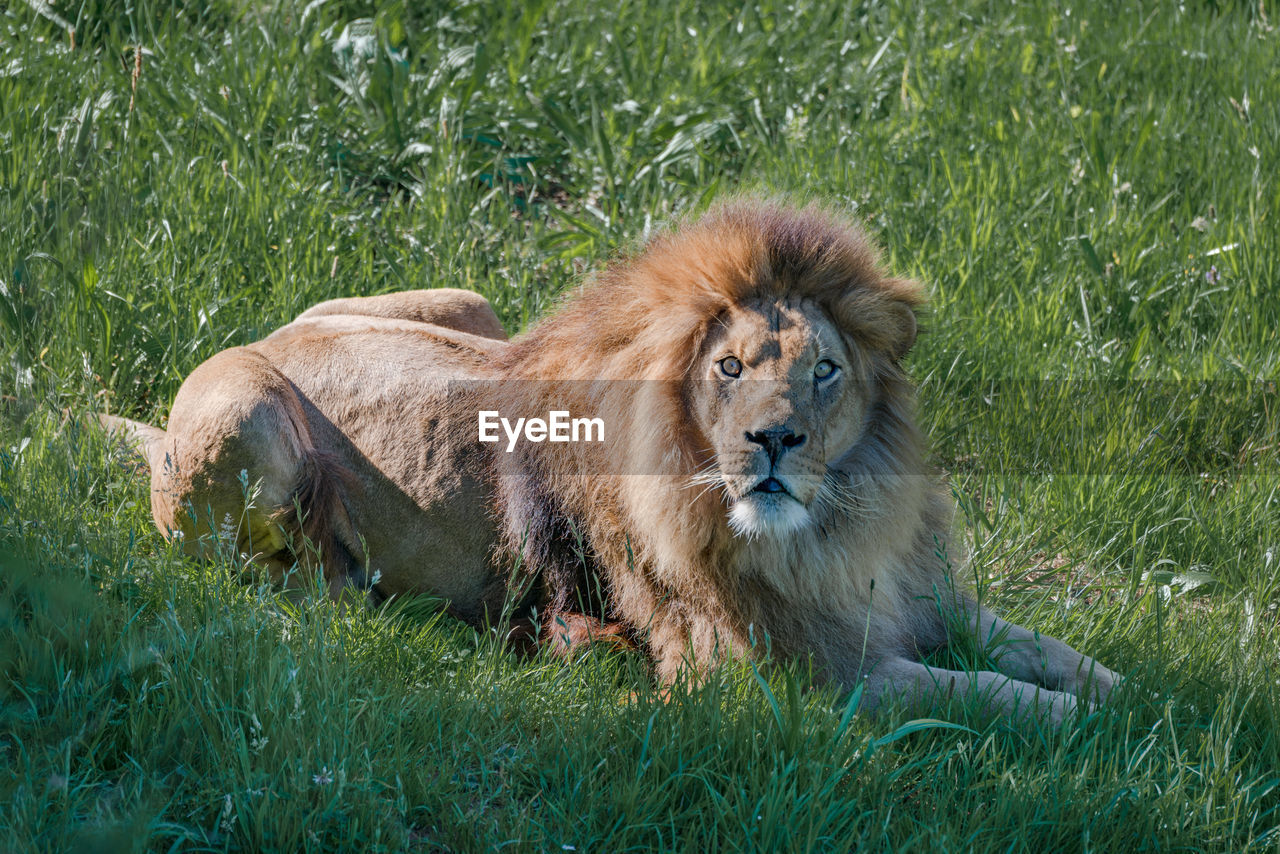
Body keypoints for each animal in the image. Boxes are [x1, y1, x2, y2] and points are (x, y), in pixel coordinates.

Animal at [104, 198, 1116, 722]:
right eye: (730, 367)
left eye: (824, 370)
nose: (773, 440)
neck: (831, 530)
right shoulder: (775, 675)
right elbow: (972, 690)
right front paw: (1093, 726)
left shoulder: (911, 596)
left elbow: (1032, 646)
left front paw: (1115, 686)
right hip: (245, 414)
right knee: (263, 577)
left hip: (468, 306)